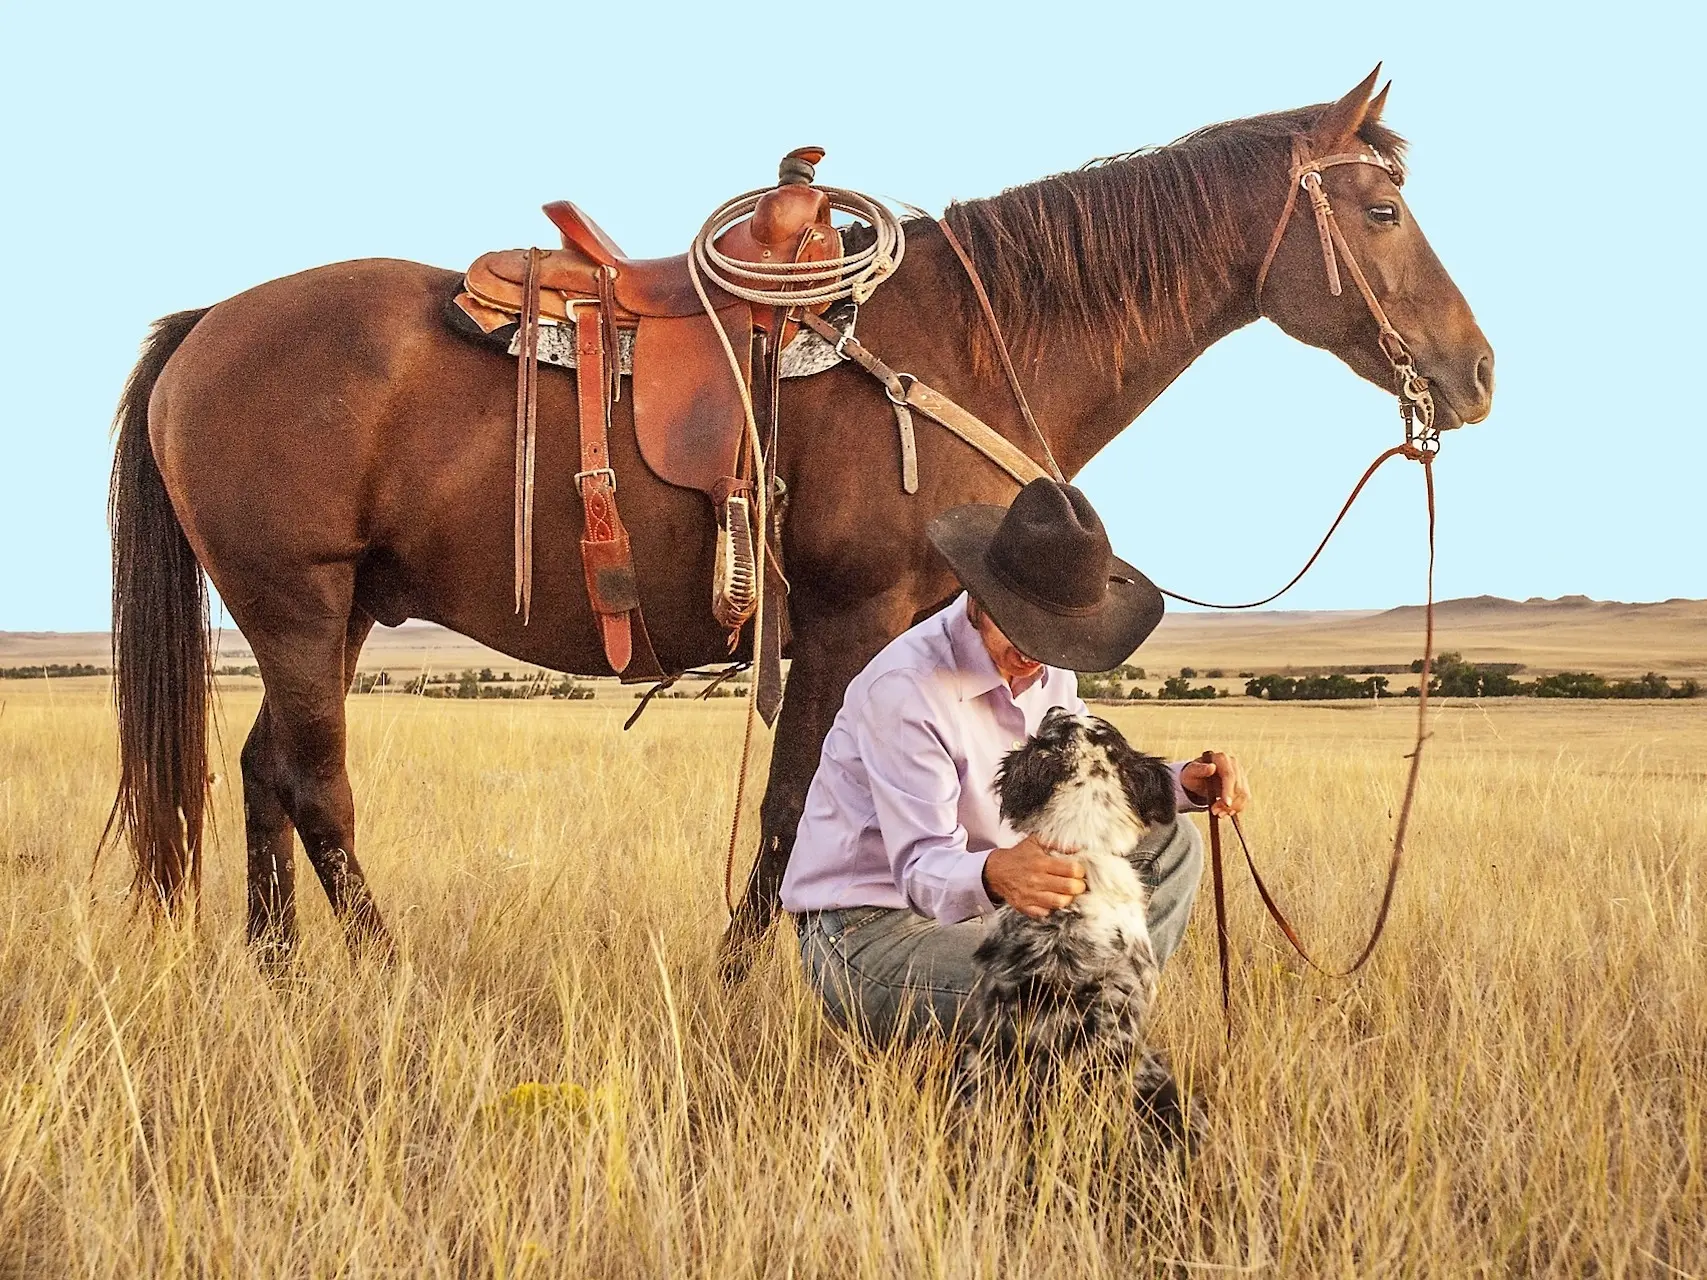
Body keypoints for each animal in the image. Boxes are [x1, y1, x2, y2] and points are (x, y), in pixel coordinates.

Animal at [106, 75, 1495, 976]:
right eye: (1381, 213)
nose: (1476, 372)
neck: (967, 341)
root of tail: (208, 322)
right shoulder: (846, 614)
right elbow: (793, 801)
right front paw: (741, 977)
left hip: (332, 612)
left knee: (264, 771)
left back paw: (278, 971)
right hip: (294, 601)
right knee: (318, 784)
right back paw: (381, 967)